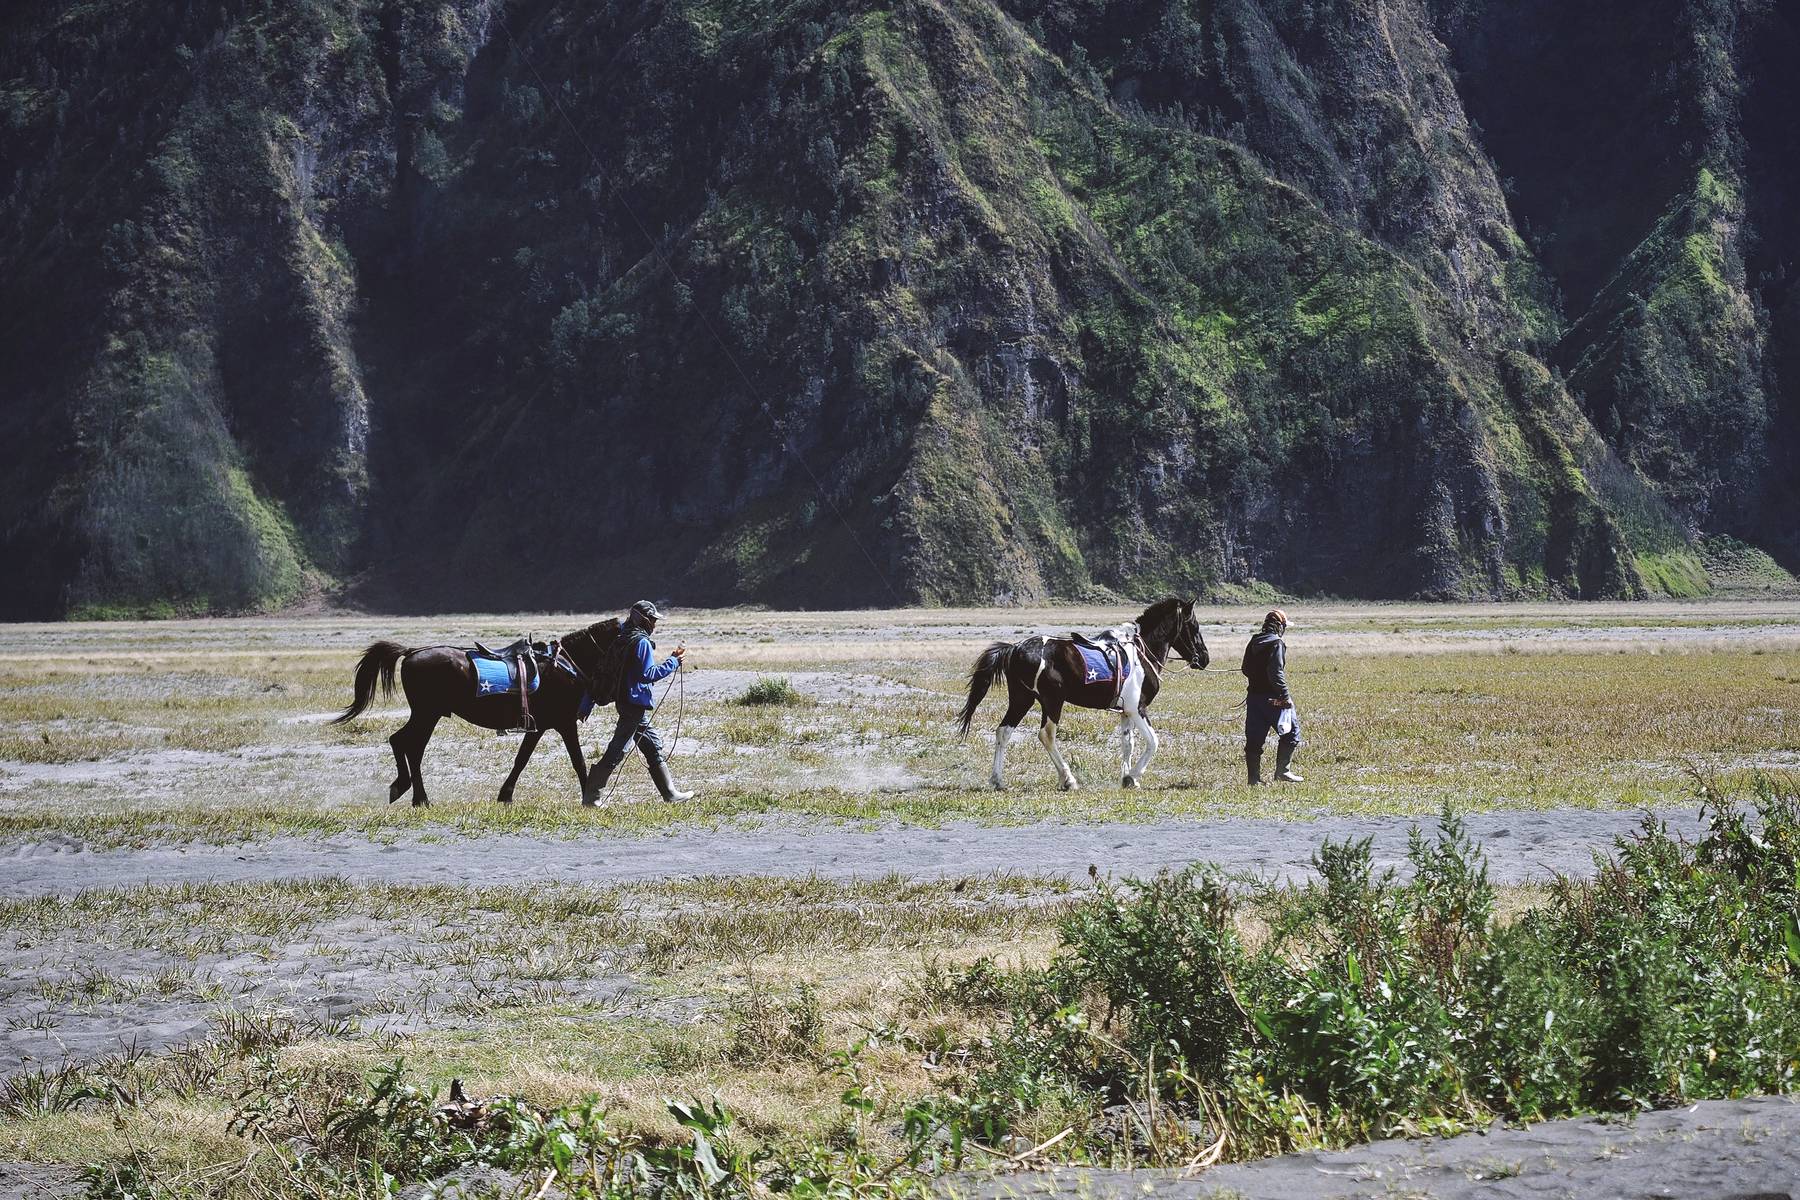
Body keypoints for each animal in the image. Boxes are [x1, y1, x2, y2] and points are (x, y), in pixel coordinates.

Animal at [334, 618, 622, 805]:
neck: (565, 665)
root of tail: (412, 652)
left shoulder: (538, 726)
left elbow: (521, 760)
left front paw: (505, 795)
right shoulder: (563, 723)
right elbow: (577, 760)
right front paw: (590, 797)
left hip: (425, 714)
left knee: (402, 742)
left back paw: (403, 788)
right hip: (427, 714)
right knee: (411, 746)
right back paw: (419, 797)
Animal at [957, 597, 1209, 788]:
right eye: (1194, 626)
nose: (1204, 658)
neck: (1141, 651)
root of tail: (1015, 648)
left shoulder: (1125, 712)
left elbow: (1128, 743)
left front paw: (1127, 778)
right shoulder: (1137, 708)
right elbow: (1153, 742)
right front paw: (1133, 776)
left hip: (1022, 699)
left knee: (1004, 732)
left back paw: (998, 780)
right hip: (1052, 702)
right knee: (1046, 735)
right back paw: (1067, 779)